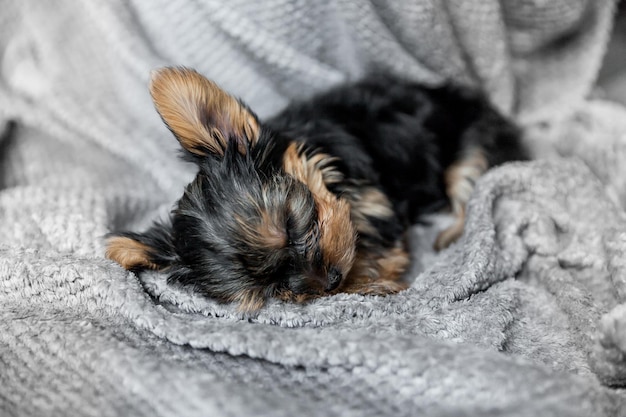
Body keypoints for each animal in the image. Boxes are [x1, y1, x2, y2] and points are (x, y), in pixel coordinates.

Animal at [105, 66, 524, 310]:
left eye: (293, 229)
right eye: (272, 287)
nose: (331, 281)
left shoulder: (375, 203)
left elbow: (379, 246)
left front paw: (371, 279)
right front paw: (362, 284)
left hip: (472, 144)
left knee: (470, 185)